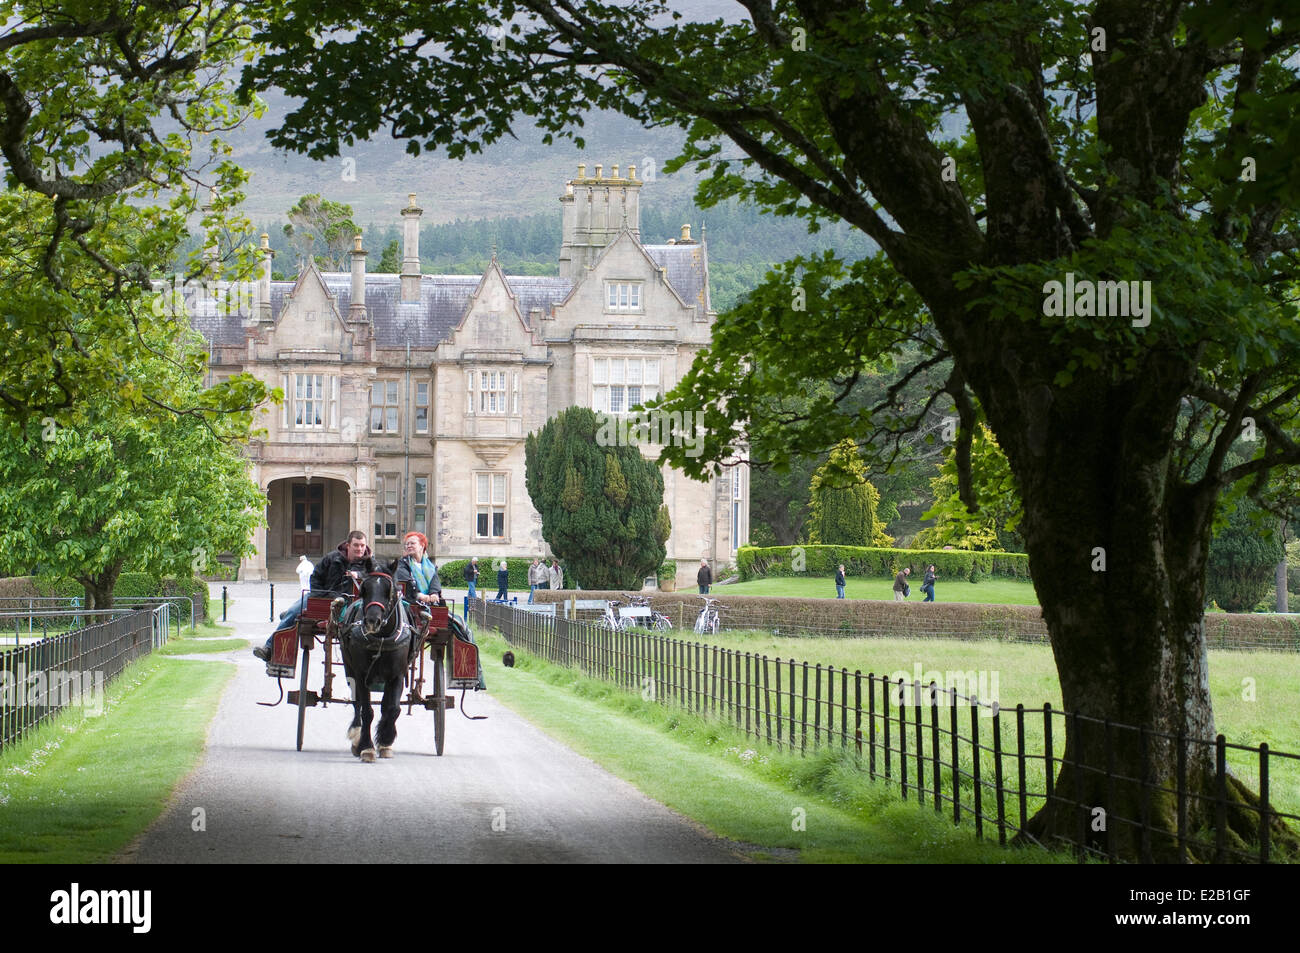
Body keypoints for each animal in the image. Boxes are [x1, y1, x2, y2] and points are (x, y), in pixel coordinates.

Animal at [338, 564, 418, 759]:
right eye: (365, 589)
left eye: (389, 591)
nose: (372, 621)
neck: (382, 638)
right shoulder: (361, 675)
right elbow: (367, 710)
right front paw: (366, 747)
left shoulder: (397, 675)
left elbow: (393, 708)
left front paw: (385, 739)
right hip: (350, 669)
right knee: (357, 703)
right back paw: (356, 735)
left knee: (384, 706)